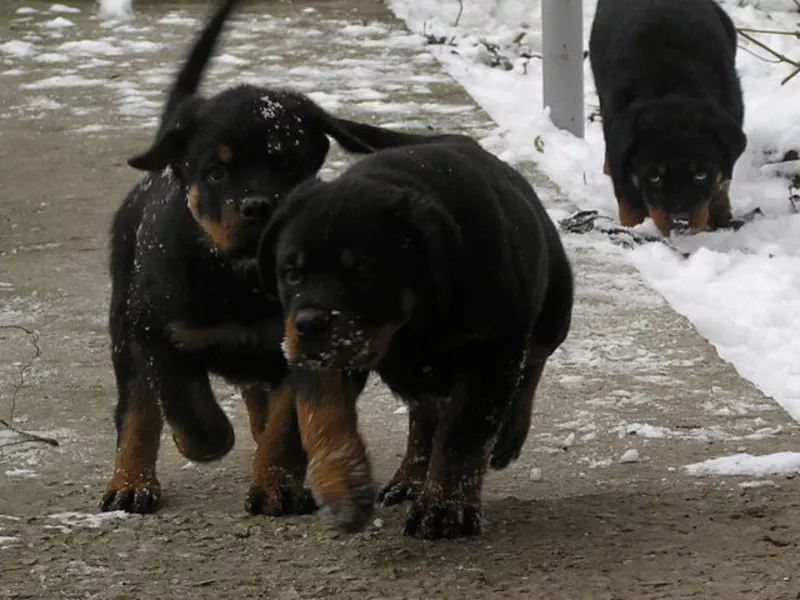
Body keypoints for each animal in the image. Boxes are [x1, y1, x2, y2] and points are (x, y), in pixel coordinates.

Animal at [101, 0, 444, 516]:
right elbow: (185, 405)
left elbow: (286, 424)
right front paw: (208, 441)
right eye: (216, 172)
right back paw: (131, 483)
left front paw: (277, 484)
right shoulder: (156, 331)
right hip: (124, 325)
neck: (238, 279)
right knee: (136, 410)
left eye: (287, 164)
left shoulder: (306, 345)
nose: (259, 206)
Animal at [258, 135, 576, 540]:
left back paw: (509, 435)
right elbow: (320, 413)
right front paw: (341, 485)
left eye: (363, 273)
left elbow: (462, 434)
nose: (311, 324)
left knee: (533, 362)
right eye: (292, 273)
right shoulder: (324, 352)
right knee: (423, 416)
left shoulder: (494, 349)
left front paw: (444, 509)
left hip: (551, 317)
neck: (414, 320)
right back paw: (408, 479)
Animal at [588, 0, 752, 237]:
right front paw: (634, 226)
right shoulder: (617, 135)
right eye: (654, 177)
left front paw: (720, 215)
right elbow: (627, 194)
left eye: (700, 175)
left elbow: (723, 180)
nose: (680, 221)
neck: (673, 87)